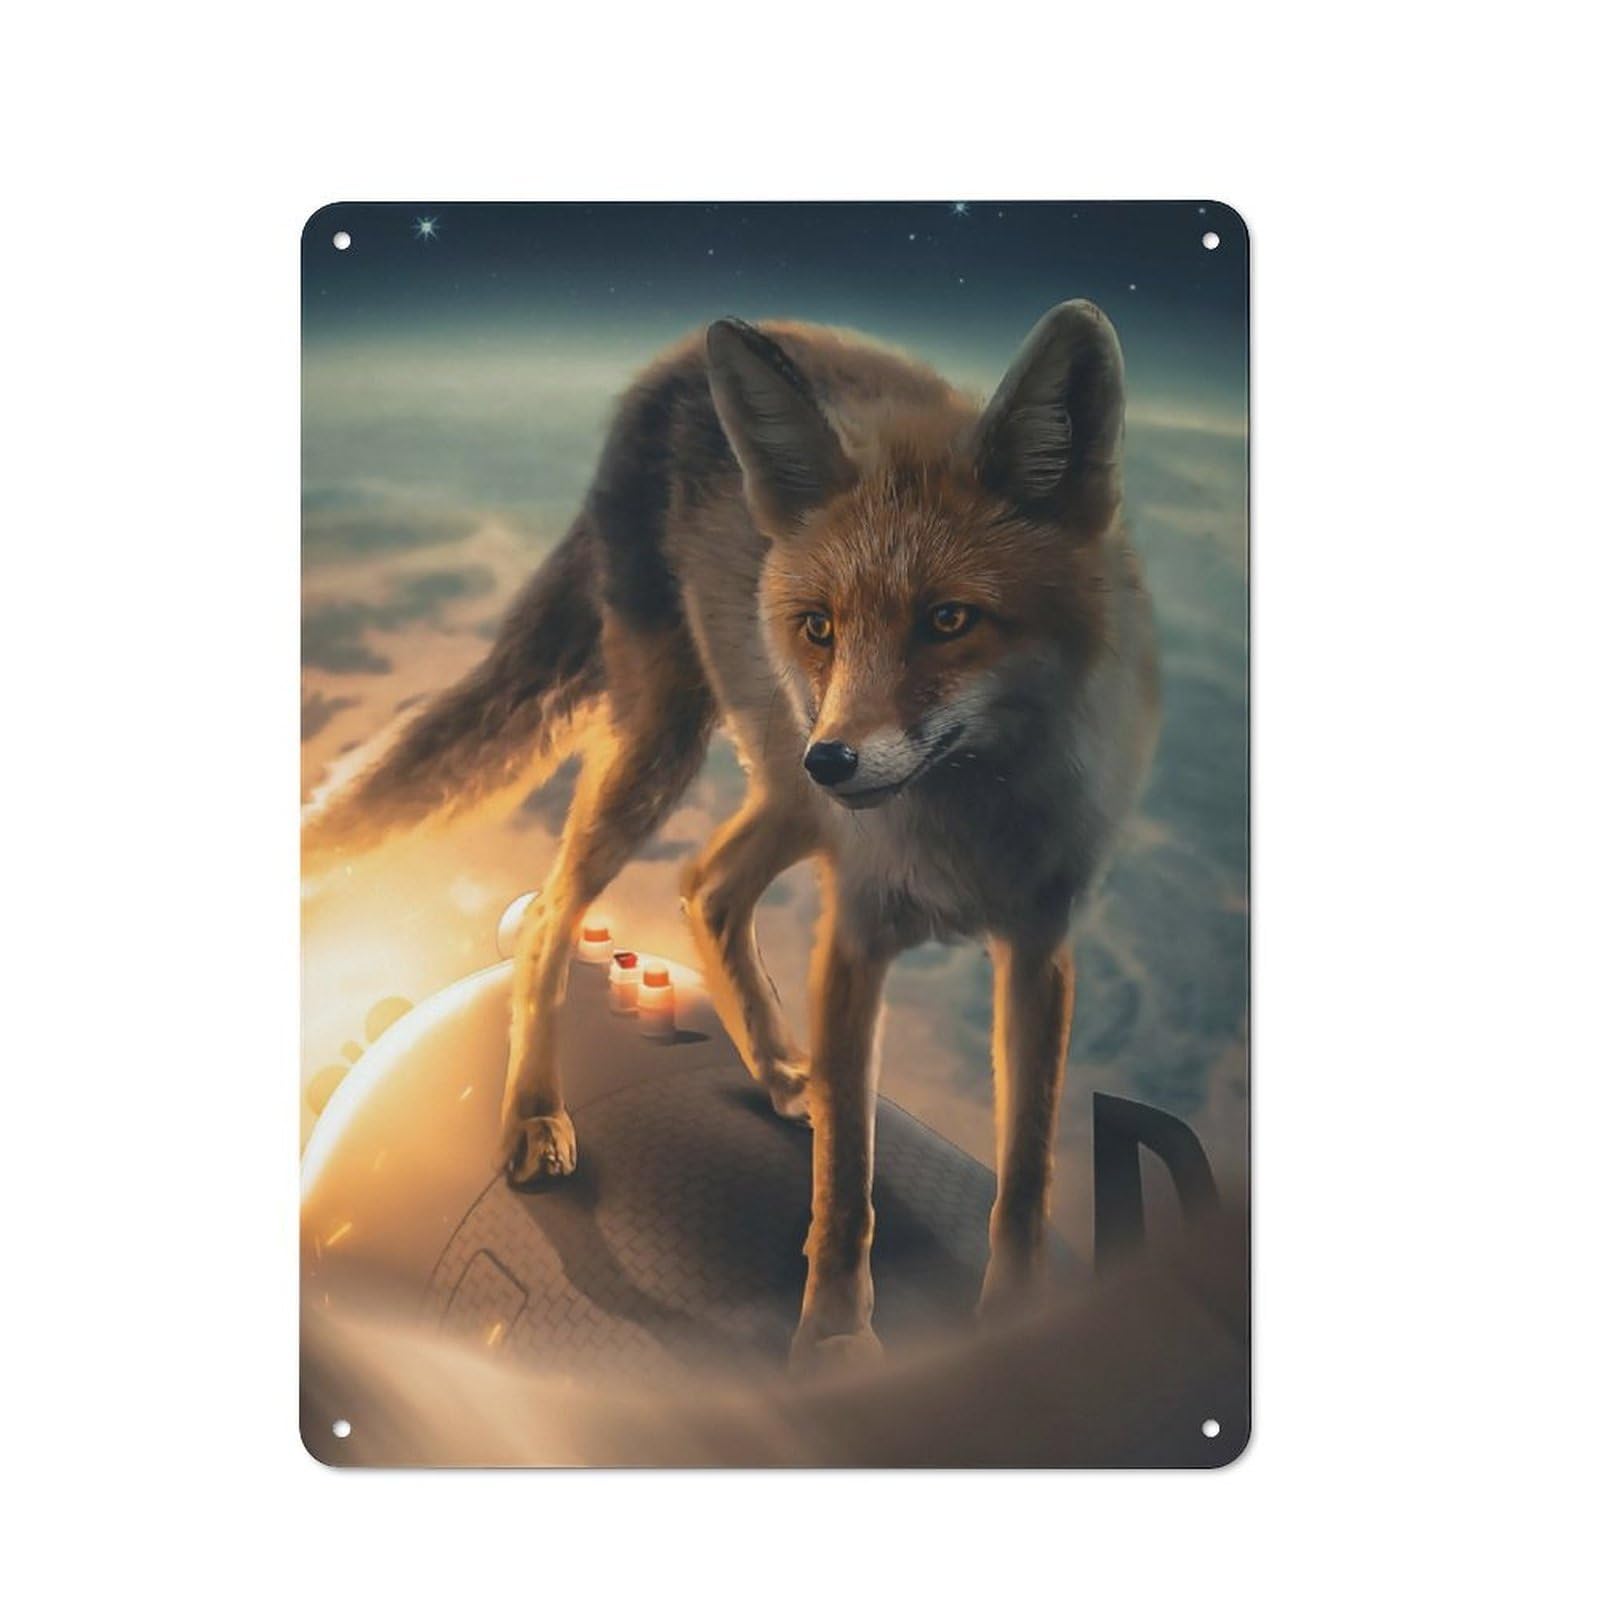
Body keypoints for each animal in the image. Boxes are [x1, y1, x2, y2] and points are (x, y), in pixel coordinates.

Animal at [303, 301, 1159, 1370]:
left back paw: (781, 1071)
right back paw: (538, 1114)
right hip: (671, 746)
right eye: (821, 627)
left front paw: (1017, 1317)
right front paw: (832, 1344)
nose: (834, 759)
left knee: (706, 886)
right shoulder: (855, 937)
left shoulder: (1039, 945)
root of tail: (667, 367)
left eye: (949, 620)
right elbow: (845, 1192)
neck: (968, 824)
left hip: (775, 788)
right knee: (551, 914)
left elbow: (1028, 1174)